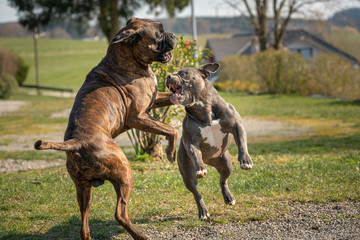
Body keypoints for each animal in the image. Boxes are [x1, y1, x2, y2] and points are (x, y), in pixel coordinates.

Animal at [34, 17, 177, 239]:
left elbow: (172, 99)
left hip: (83, 189)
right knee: (120, 213)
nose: (173, 35)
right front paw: (171, 153)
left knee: (84, 225)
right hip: (124, 171)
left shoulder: (154, 100)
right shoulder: (138, 117)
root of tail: (77, 142)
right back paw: (140, 235)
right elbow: (170, 129)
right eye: (159, 34)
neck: (126, 59)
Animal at [166, 62, 253, 219]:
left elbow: (242, 142)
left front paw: (245, 160)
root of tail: (209, 160)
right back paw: (203, 211)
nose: (168, 76)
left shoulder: (237, 125)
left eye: (183, 73)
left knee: (223, 180)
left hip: (226, 163)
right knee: (196, 193)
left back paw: (228, 197)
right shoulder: (191, 141)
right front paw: (201, 168)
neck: (203, 109)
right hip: (187, 176)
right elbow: (195, 154)